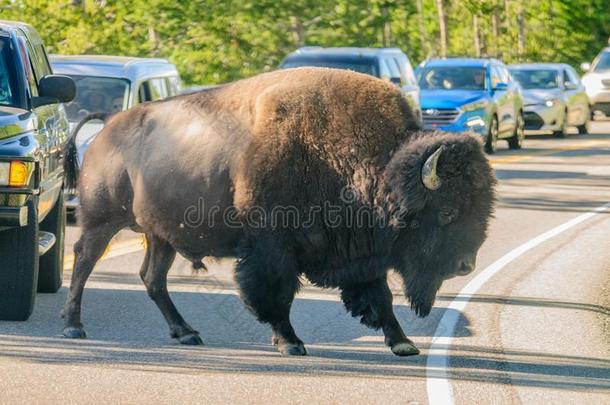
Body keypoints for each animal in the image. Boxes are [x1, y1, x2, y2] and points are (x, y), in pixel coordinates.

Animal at [61, 68, 494, 356]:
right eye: (447, 212)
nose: (465, 265)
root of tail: (108, 125)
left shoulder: (361, 253)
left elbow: (380, 298)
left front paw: (403, 344)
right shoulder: (272, 248)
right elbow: (276, 295)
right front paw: (290, 342)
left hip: (159, 234)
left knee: (152, 279)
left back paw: (186, 332)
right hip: (101, 220)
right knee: (83, 261)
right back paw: (73, 327)